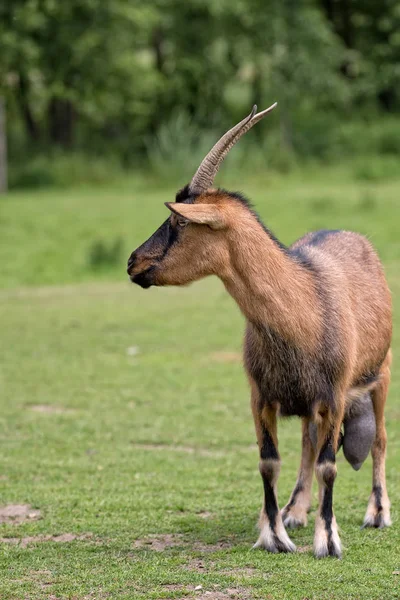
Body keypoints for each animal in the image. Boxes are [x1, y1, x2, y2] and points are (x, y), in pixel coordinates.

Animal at [127, 104, 390, 556]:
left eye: (178, 222)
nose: (133, 262)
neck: (302, 308)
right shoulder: (261, 396)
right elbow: (270, 462)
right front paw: (275, 534)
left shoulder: (335, 395)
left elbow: (329, 467)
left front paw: (328, 540)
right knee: (307, 442)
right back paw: (296, 510)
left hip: (382, 374)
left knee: (379, 439)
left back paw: (377, 513)